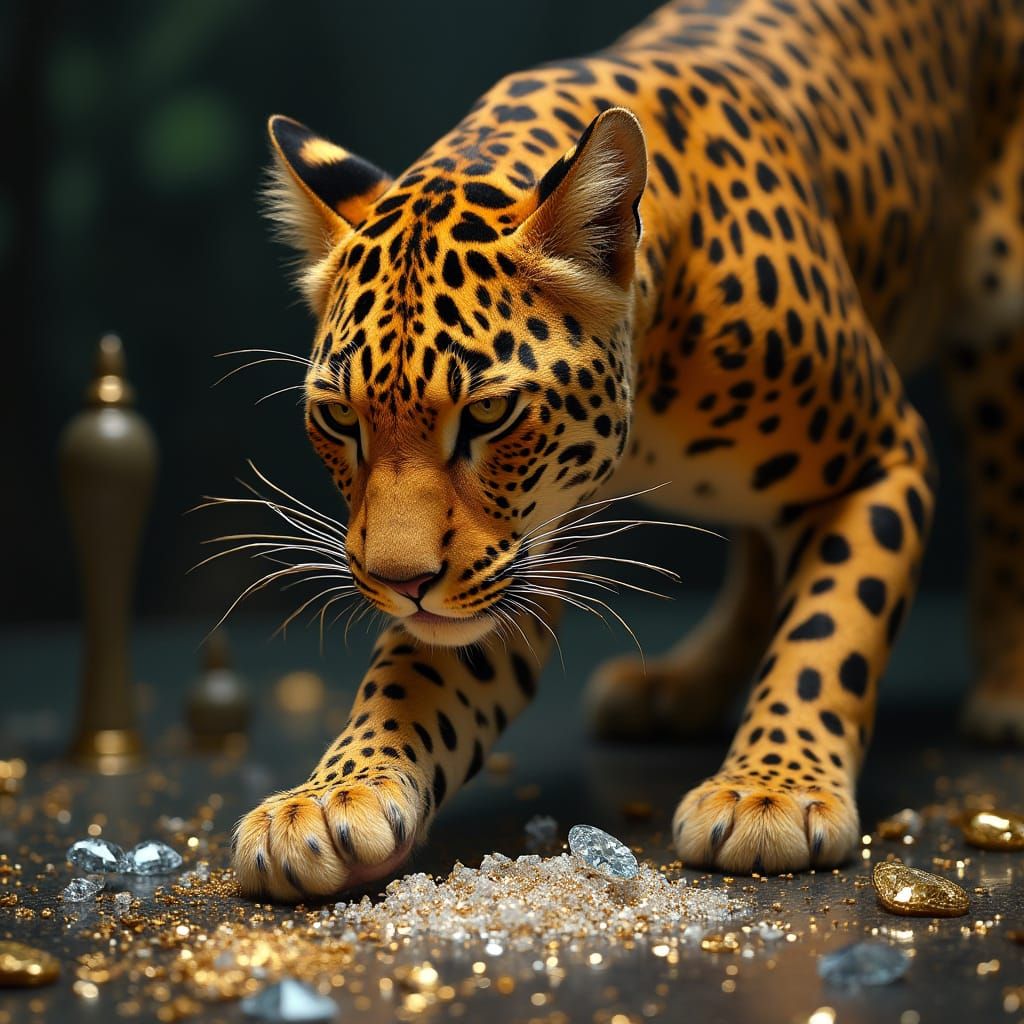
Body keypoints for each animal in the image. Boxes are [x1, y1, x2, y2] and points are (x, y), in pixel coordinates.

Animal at [231, 0, 1024, 901]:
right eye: (339, 419)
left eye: (490, 413)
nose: (400, 584)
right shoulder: (515, 557)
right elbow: (417, 677)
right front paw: (334, 797)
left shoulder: (880, 454)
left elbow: (830, 628)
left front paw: (771, 792)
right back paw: (682, 685)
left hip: (999, 331)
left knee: (1003, 489)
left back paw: (1005, 687)